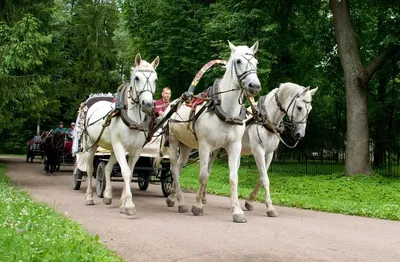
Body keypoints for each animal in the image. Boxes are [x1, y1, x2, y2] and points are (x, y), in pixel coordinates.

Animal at [82, 53, 159, 215]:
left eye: (155, 79)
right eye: (137, 78)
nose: (148, 104)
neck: (133, 119)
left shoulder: (136, 150)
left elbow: (130, 172)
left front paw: (123, 202)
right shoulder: (119, 146)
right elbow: (126, 172)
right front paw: (128, 204)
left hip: (112, 148)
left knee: (107, 168)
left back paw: (107, 196)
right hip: (93, 144)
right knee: (90, 169)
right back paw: (89, 198)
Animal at [161, 41, 260, 223]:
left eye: (256, 63)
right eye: (238, 61)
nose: (254, 86)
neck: (225, 110)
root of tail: (171, 105)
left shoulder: (234, 146)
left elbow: (233, 177)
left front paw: (237, 212)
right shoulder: (205, 145)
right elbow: (203, 175)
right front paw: (197, 206)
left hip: (186, 146)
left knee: (178, 167)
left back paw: (172, 198)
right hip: (172, 142)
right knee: (173, 170)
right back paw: (182, 203)